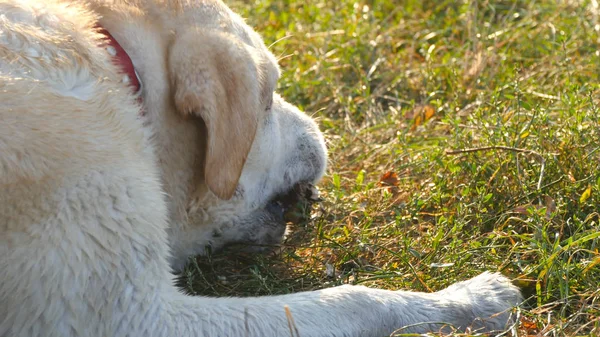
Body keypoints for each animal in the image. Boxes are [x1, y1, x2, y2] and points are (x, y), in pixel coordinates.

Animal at [0, 1, 524, 334]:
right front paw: (471, 301)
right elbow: (356, 299)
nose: (321, 134)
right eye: (268, 98)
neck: (122, 79)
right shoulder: (137, 320)